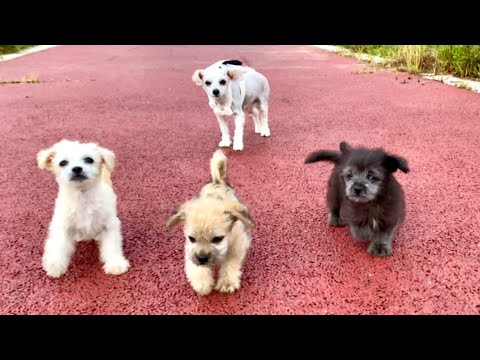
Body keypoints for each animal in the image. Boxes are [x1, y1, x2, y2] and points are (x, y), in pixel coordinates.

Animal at [36, 139, 129, 278]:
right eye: (63, 162)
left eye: (89, 159)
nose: (77, 169)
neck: (82, 197)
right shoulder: (62, 225)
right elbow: (59, 245)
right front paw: (55, 265)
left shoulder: (109, 226)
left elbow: (112, 246)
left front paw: (115, 263)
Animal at [166, 149, 253, 296]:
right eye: (191, 238)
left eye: (217, 239)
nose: (202, 258)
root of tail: (217, 181)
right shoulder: (190, 249)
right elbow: (196, 268)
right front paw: (202, 283)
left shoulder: (237, 245)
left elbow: (230, 262)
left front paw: (227, 282)